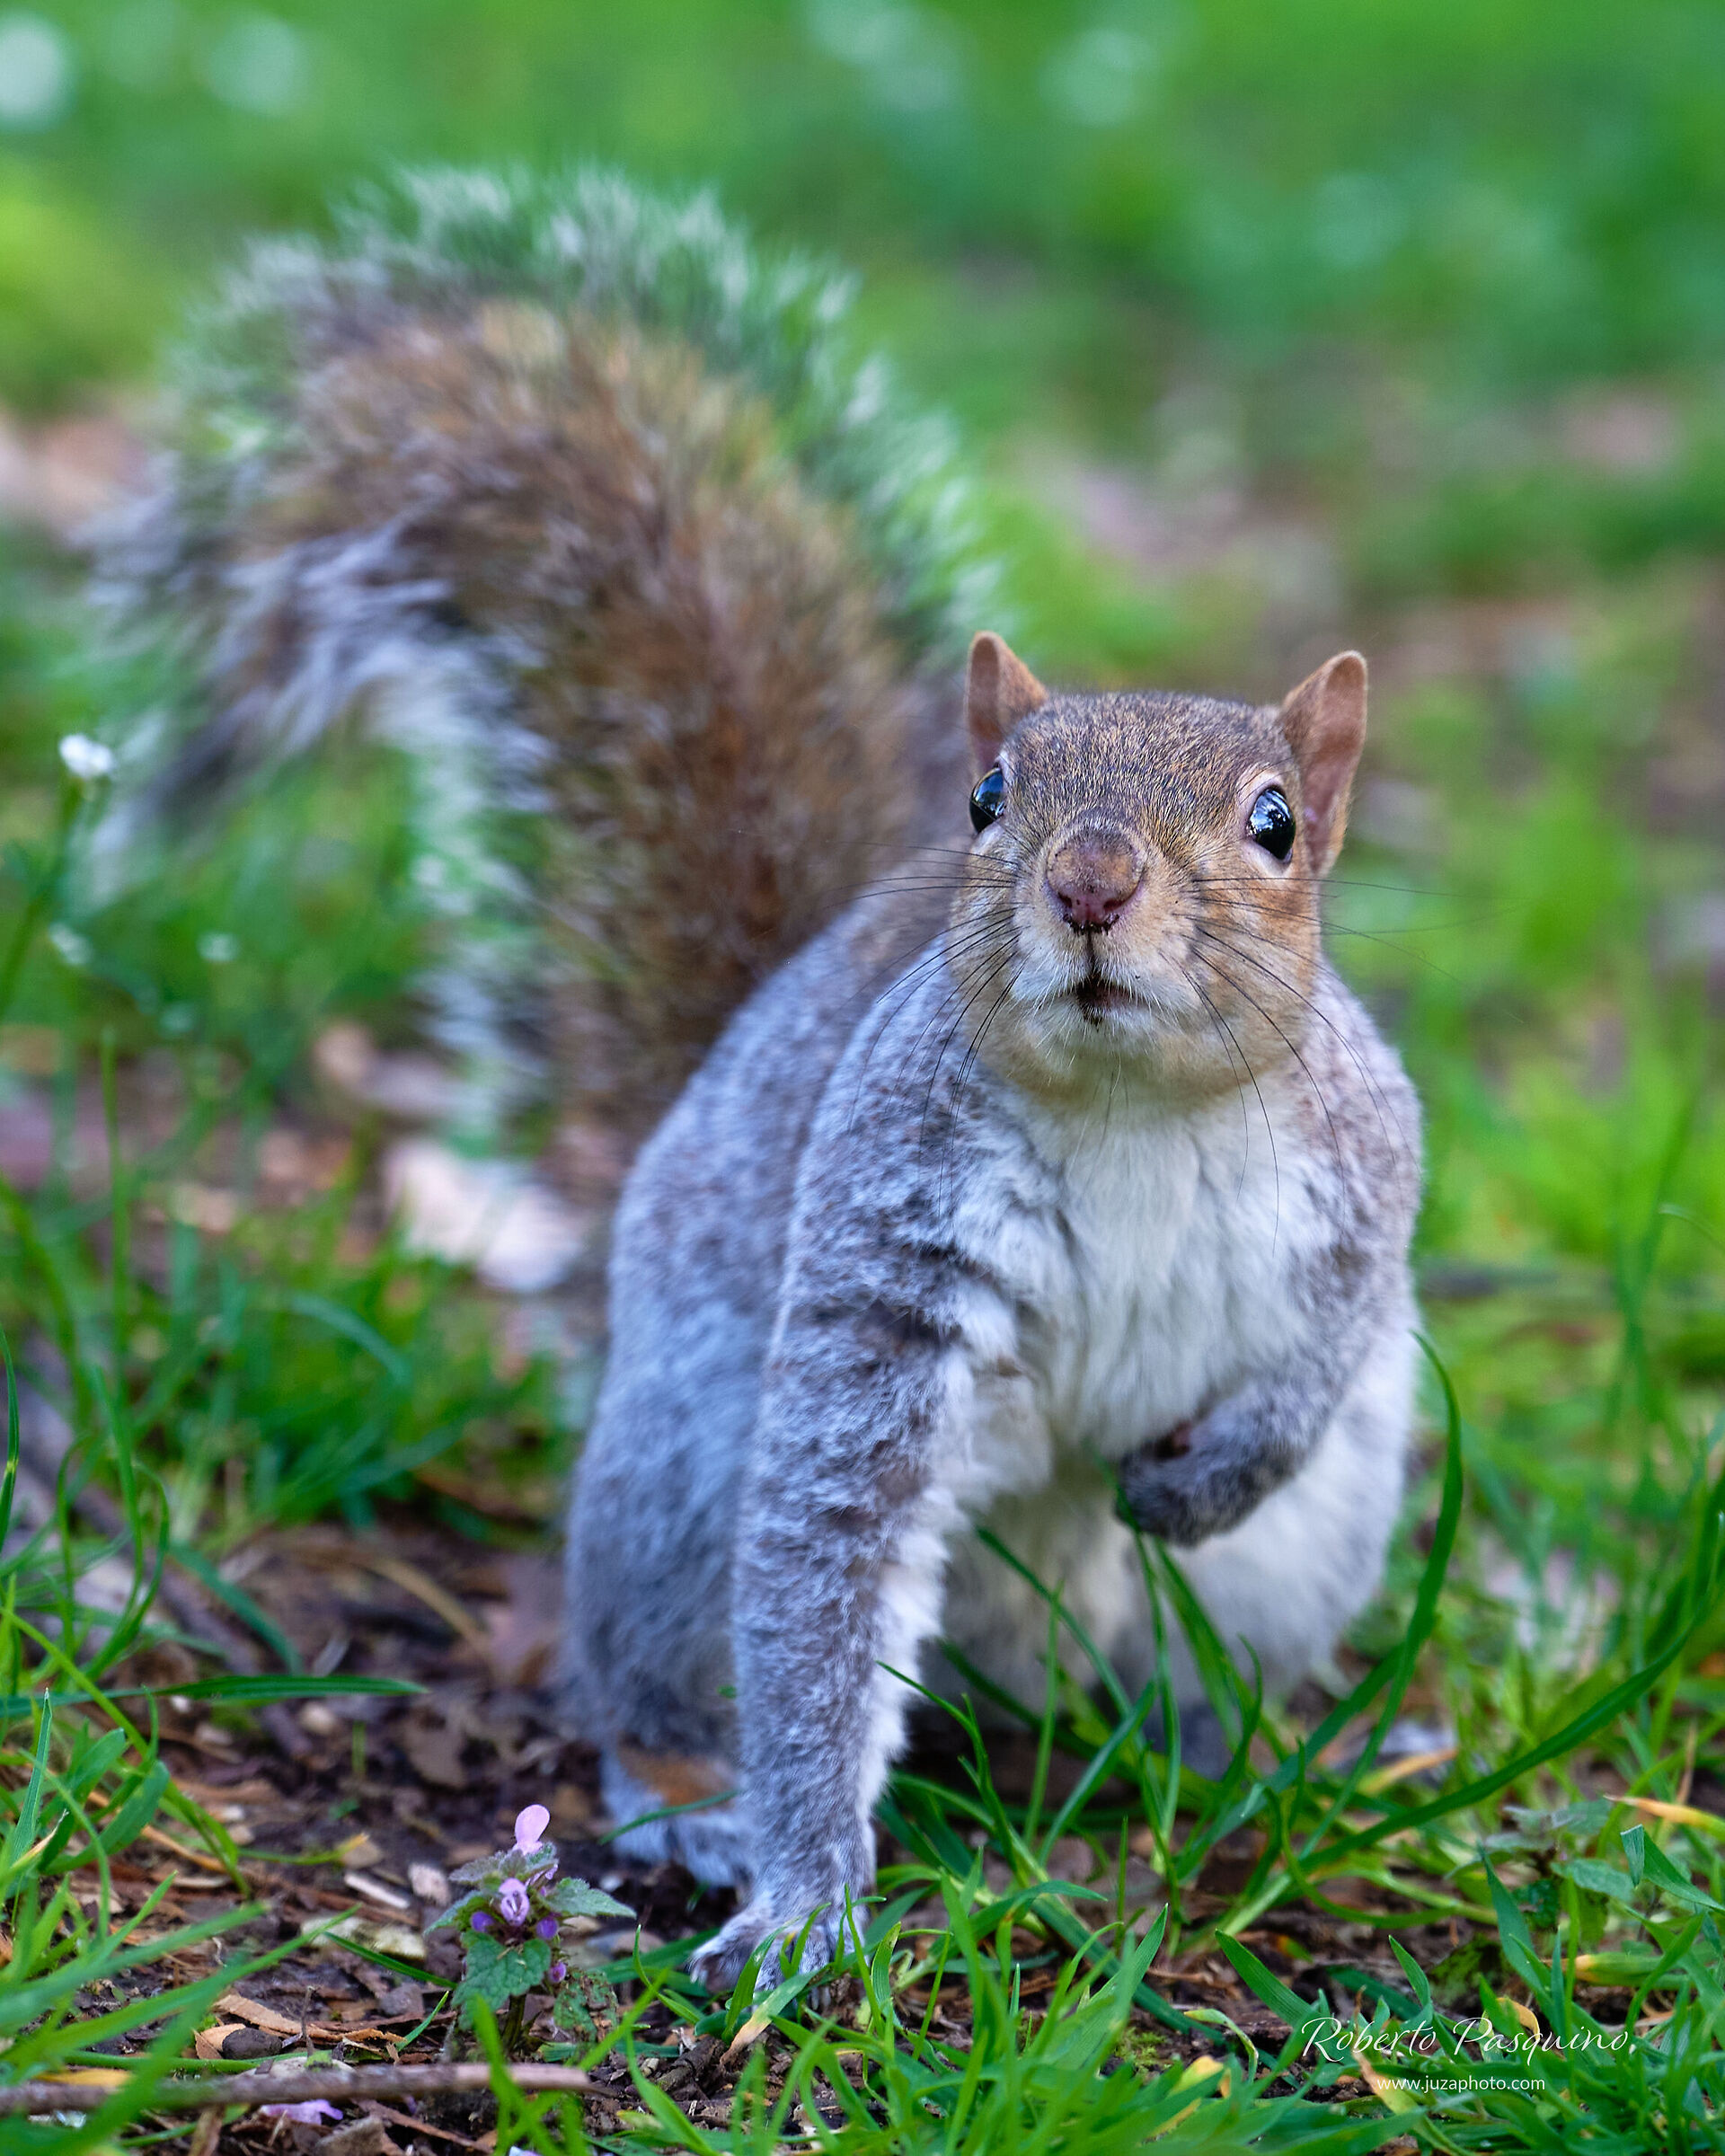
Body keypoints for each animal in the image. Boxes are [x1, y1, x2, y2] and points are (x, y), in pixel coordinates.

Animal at [93, 167, 1422, 1991]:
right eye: (992, 796)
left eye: (1278, 822)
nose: (1087, 884)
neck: (1132, 1111)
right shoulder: (883, 1255)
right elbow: (823, 1576)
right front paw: (804, 1903)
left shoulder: (1360, 1167)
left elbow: (1339, 1328)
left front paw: (1216, 1467)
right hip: (682, 1464)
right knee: (657, 1680)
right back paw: (695, 1806)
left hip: (1301, 1555)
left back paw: (1234, 1753)